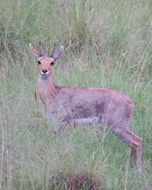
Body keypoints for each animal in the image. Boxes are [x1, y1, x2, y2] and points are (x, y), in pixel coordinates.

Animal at [29, 43, 142, 174]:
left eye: (52, 62)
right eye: (39, 61)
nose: (44, 71)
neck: (53, 93)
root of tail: (130, 101)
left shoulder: (61, 122)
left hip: (118, 126)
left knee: (137, 141)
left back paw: (138, 171)